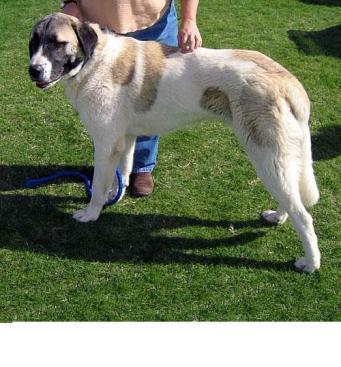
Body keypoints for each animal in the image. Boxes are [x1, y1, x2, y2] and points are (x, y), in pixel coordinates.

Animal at [28, 13, 318, 274]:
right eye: (34, 42)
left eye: (57, 43)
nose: (33, 70)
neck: (94, 60)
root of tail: (288, 82)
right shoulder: (125, 140)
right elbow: (121, 173)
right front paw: (114, 196)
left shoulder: (105, 144)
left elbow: (99, 185)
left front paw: (91, 214)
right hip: (278, 159)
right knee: (292, 199)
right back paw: (278, 217)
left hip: (266, 157)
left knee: (303, 215)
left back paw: (311, 263)